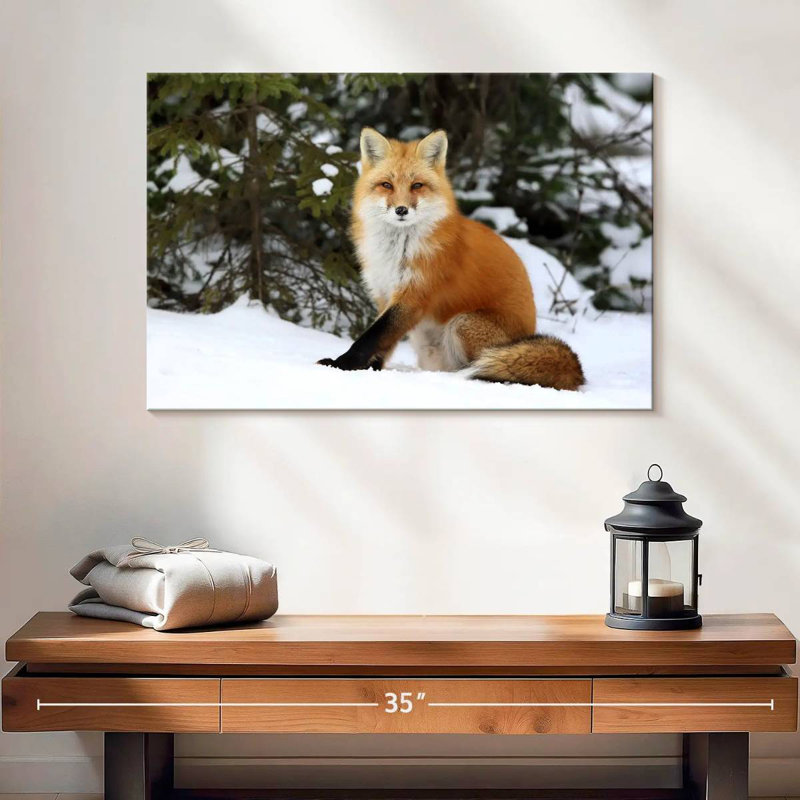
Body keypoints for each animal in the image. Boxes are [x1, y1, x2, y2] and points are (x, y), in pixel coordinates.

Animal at [317, 127, 584, 391]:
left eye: (417, 185)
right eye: (386, 185)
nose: (401, 210)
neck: (397, 250)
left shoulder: (415, 294)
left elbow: (371, 337)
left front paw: (341, 364)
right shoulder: (385, 293)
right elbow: (384, 340)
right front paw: (370, 370)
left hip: (462, 323)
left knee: (485, 366)